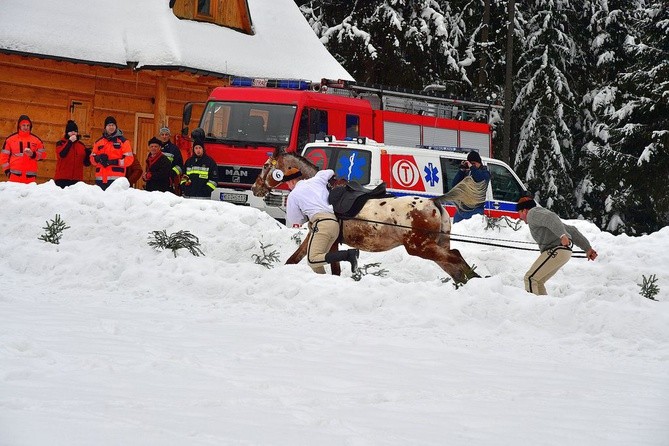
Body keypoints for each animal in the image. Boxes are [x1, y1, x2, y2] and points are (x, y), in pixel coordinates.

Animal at [249, 148, 474, 284]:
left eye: (266, 166)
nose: (254, 188)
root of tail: (434, 202)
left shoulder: (328, 239)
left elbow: (330, 267)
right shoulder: (318, 237)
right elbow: (297, 259)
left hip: (420, 247)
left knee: (455, 258)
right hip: (435, 245)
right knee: (454, 264)